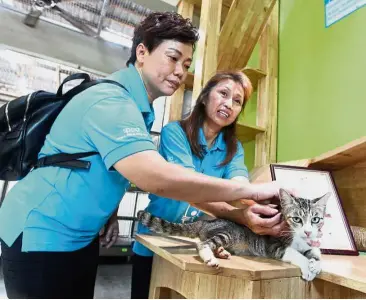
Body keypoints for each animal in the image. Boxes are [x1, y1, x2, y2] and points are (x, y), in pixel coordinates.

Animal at [138, 190, 332, 282]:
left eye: (315, 219)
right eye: (296, 219)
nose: (307, 231)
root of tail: (206, 222)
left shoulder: (308, 243)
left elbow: (315, 251)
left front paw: (316, 264)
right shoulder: (274, 245)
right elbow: (295, 253)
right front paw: (308, 267)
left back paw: (222, 252)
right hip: (228, 234)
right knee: (203, 244)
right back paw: (210, 258)